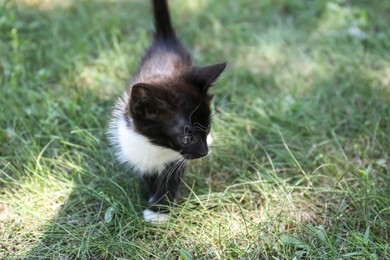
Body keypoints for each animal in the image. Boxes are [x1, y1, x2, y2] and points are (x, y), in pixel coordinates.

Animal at [109, 0, 225, 223]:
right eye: (186, 137)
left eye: (207, 129)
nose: (204, 152)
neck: (157, 145)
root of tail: (165, 41)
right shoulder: (132, 143)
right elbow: (147, 172)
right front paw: (150, 195)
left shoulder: (178, 159)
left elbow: (171, 177)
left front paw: (159, 209)